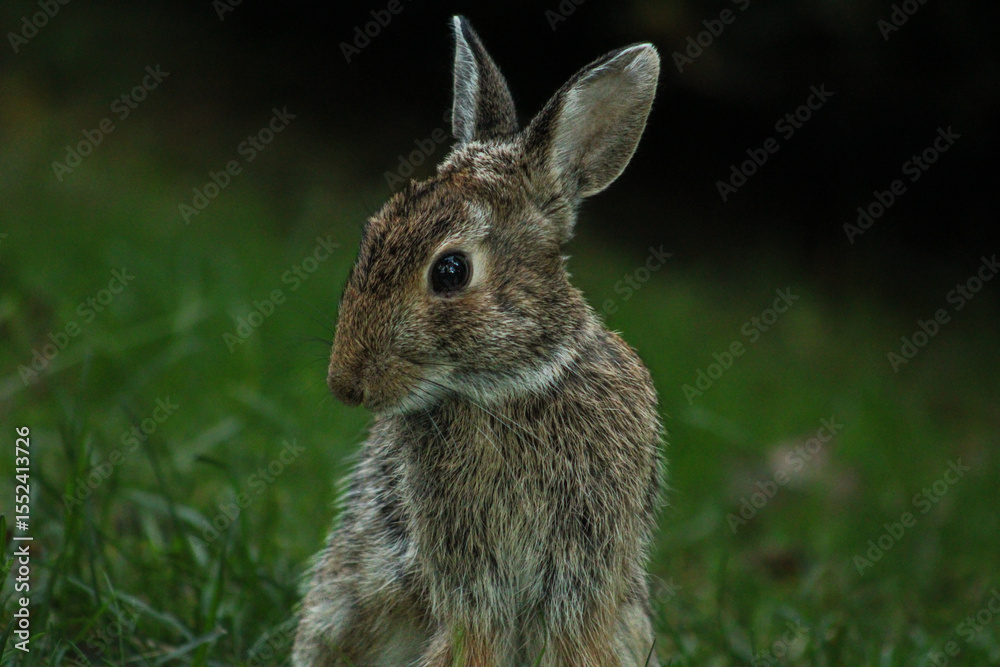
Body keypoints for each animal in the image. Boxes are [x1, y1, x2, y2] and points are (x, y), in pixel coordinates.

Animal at [293, 15, 663, 667]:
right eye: (372, 233)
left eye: (450, 272)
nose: (345, 385)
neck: (512, 387)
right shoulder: (467, 569)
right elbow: (475, 636)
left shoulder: (583, 567)